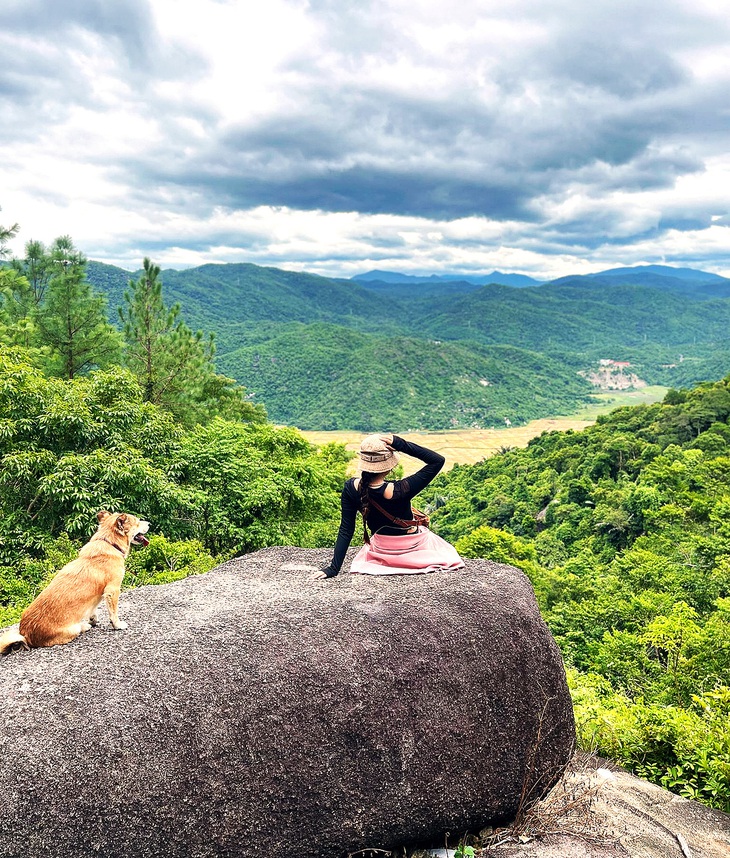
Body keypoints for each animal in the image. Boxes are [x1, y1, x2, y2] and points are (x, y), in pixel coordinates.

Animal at [0, 508, 148, 648]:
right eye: (137, 522)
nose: (149, 524)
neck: (110, 543)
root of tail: (25, 635)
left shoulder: (99, 595)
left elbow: (93, 608)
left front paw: (93, 619)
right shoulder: (112, 590)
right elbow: (113, 613)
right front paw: (117, 625)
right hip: (72, 629)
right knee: (78, 629)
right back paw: (84, 626)